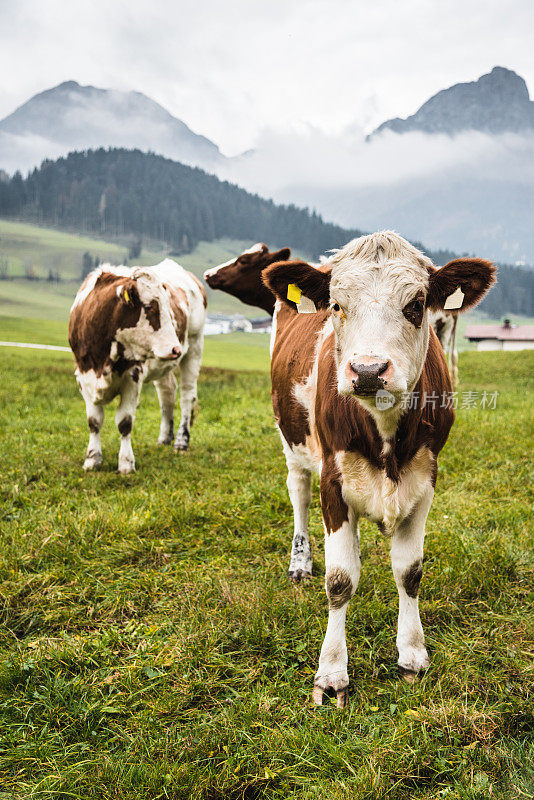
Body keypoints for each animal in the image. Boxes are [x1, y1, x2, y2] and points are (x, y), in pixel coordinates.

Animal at [69, 260, 207, 476]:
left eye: (168, 305)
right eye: (150, 306)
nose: (175, 348)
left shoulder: (133, 375)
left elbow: (125, 421)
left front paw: (126, 463)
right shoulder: (83, 376)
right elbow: (94, 421)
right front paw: (92, 459)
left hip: (194, 346)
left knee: (187, 396)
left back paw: (181, 442)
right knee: (167, 392)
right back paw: (165, 438)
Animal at [262, 231, 496, 708]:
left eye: (417, 303)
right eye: (336, 304)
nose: (368, 370)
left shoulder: (425, 480)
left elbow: (410, 571)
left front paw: (412, 654)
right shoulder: (333, 483)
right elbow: (339, 580)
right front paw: (331, 672)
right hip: (291, 440)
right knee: (298, 493)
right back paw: (299, 561)